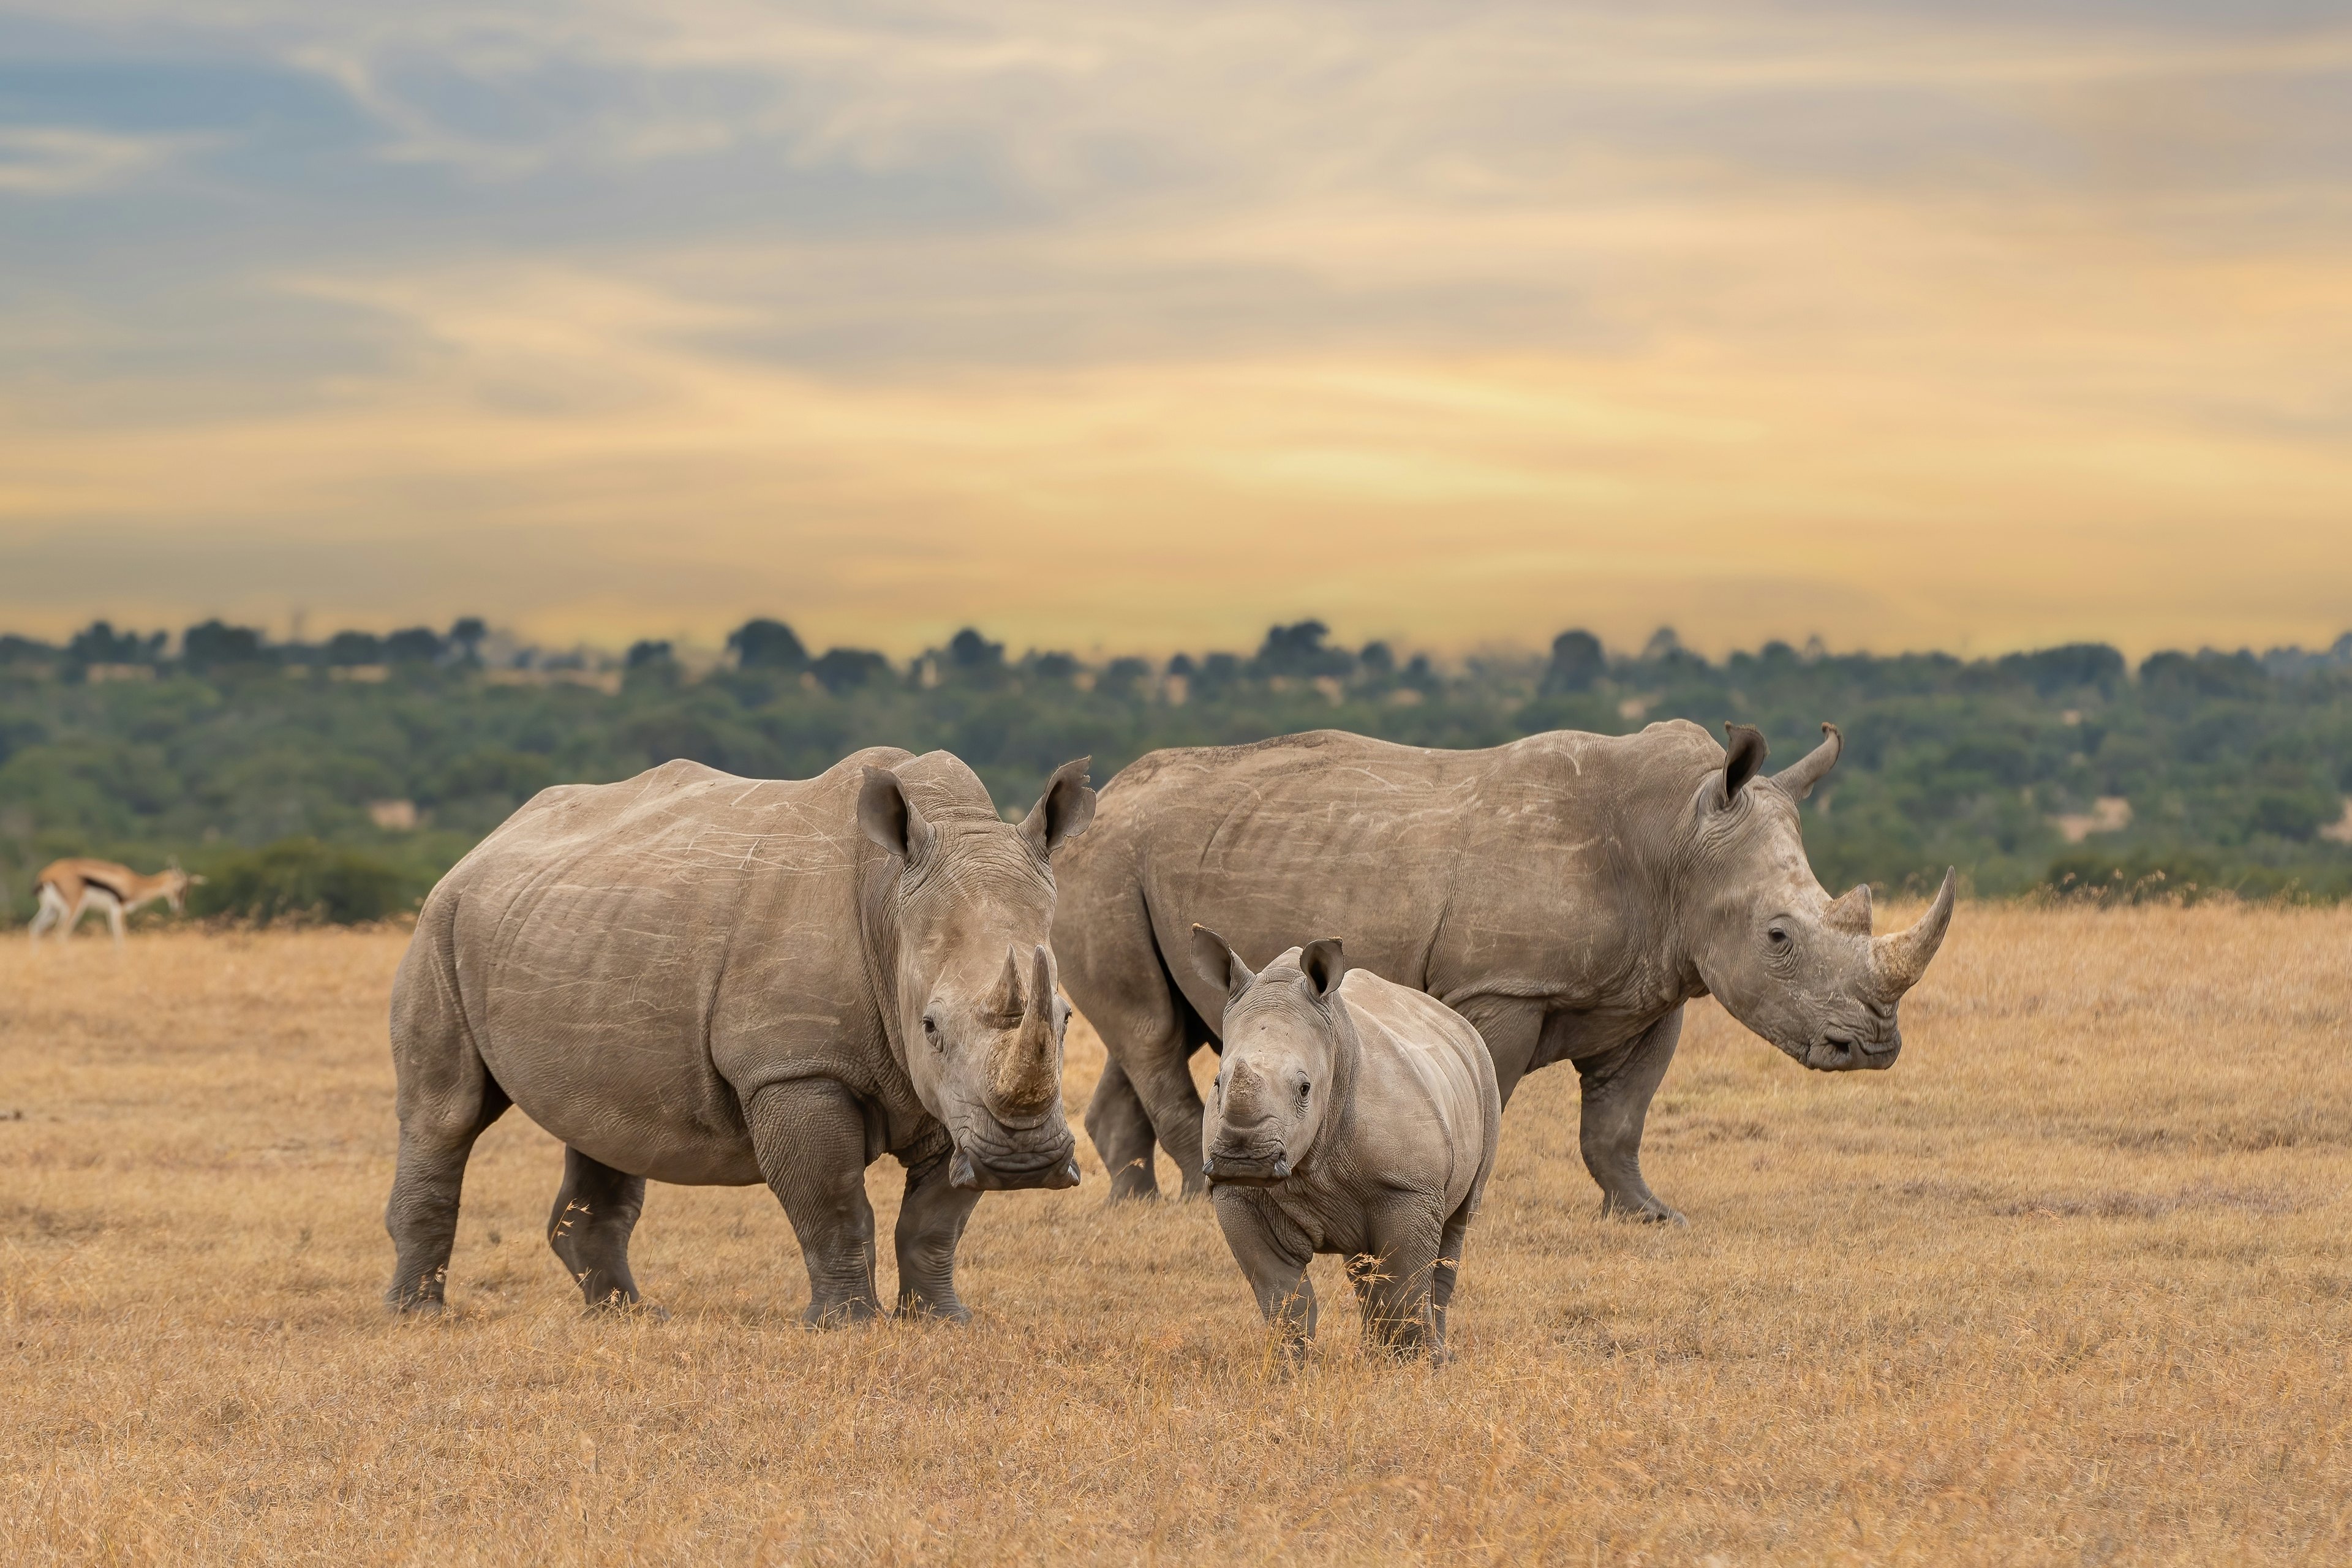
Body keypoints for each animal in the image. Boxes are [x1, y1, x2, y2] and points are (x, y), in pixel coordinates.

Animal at [382, 748, 1096, 1323]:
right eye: (931, 1027)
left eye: (1065, 1019)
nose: (1024, 1163)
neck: (891, 903)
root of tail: (486, 842)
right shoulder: (794, 1068)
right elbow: (833, 1205)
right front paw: (846, 1326)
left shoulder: (954, 1098)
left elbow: (936, 1221)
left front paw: (942, 1322)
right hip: (441, 921)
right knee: (445, 1114)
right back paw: (419, 1317)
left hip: (568, 929)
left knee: (602, 1125)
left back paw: (629, 1316)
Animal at [1056, 720, 1953, 1219]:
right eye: (1777, 937)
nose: (1873, 1047)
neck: (1676, 839)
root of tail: (1088, 811)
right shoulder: (1503, 988)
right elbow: (1491, 1093)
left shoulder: (1656, 988)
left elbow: (1618, 1122)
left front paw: (1649, 1217)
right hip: (1107, 865)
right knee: (1148, 1030)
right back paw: (1198, 1200)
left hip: (1162, 863)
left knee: (1167, 1026)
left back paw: (1135, 1206)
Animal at [1194, 928, 1498, 1360]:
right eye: (1218, 1084)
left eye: (1305, 1089)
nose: (1244, 1161)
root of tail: (1456, 1021)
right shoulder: (1234, 1193)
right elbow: (1282, 1295)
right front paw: (1290, 1366)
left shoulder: (1410, 1186)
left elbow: (1405, 1286)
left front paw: (1410, 1367)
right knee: (1364, 1265)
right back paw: (1375, 1351)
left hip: (1484, 1074)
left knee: (1455, 1228)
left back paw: (1433, 1356)